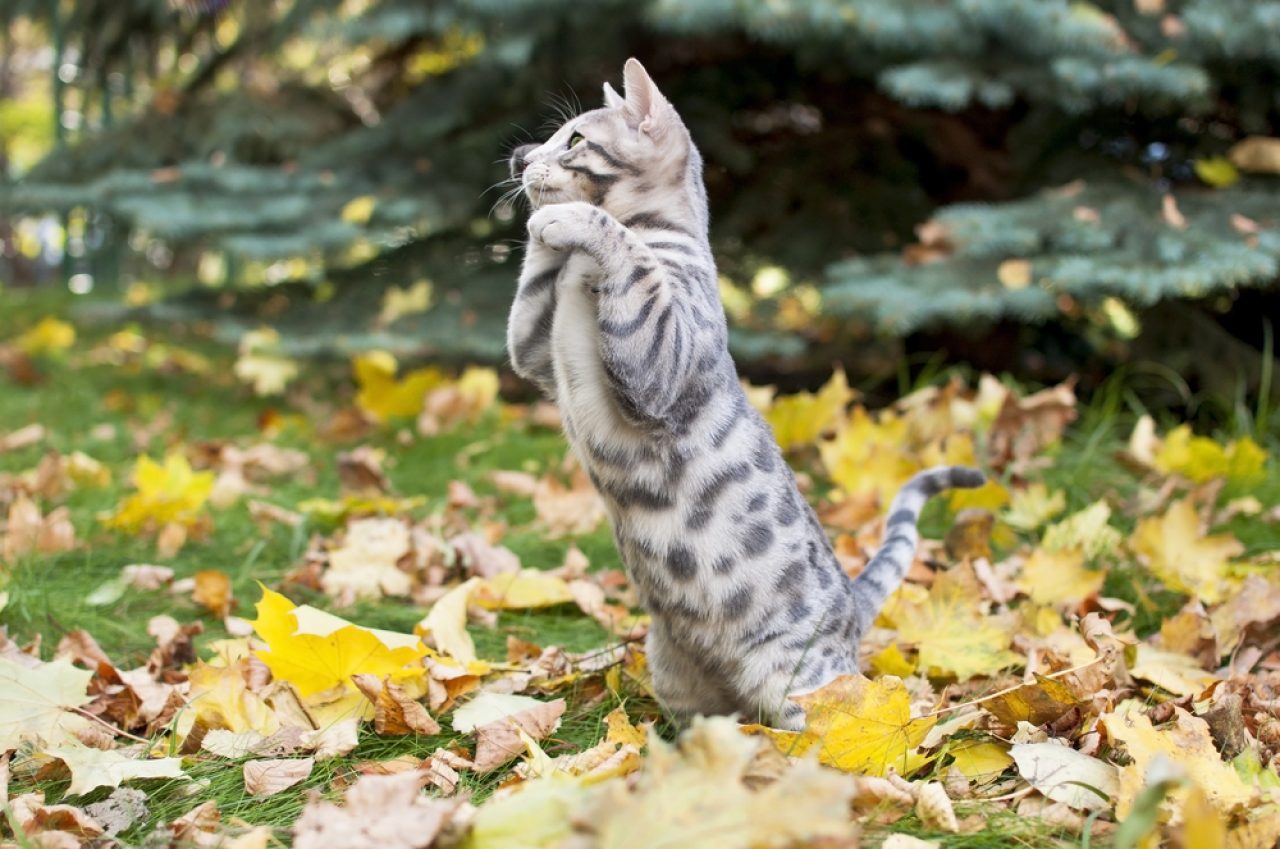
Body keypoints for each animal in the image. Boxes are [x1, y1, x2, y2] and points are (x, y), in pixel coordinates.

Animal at [504, 58, 983, 732]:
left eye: (574, 139)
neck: (579, 275)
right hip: (676, 672)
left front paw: (570, 221)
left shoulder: (660, 359)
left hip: (800, 683)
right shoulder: (535, 360)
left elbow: (624, 243)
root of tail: (852, 604)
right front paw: (541, 230)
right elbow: (532, 296)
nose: (521, 155)